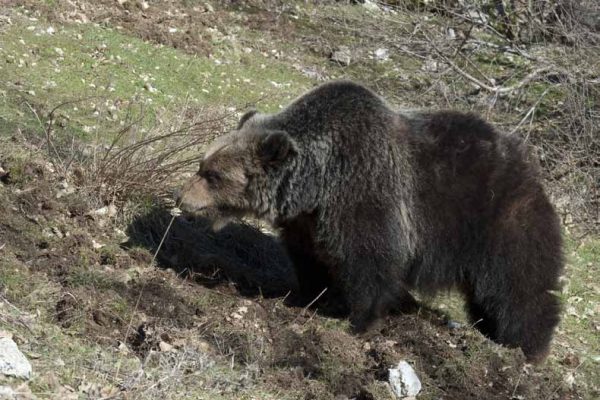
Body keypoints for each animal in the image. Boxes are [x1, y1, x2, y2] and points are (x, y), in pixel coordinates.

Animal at [177, 80, 564, 362]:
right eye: (202, 165)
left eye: (213, 175)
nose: (182, 199)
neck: (318, 183)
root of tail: (531, 167)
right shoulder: (308, 222)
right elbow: (310, 259)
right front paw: (311, 296)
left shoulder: (365, 195)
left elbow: (370, 262)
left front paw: (359, 321)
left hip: (499, 222)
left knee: (519, 287)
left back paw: (525, 348)